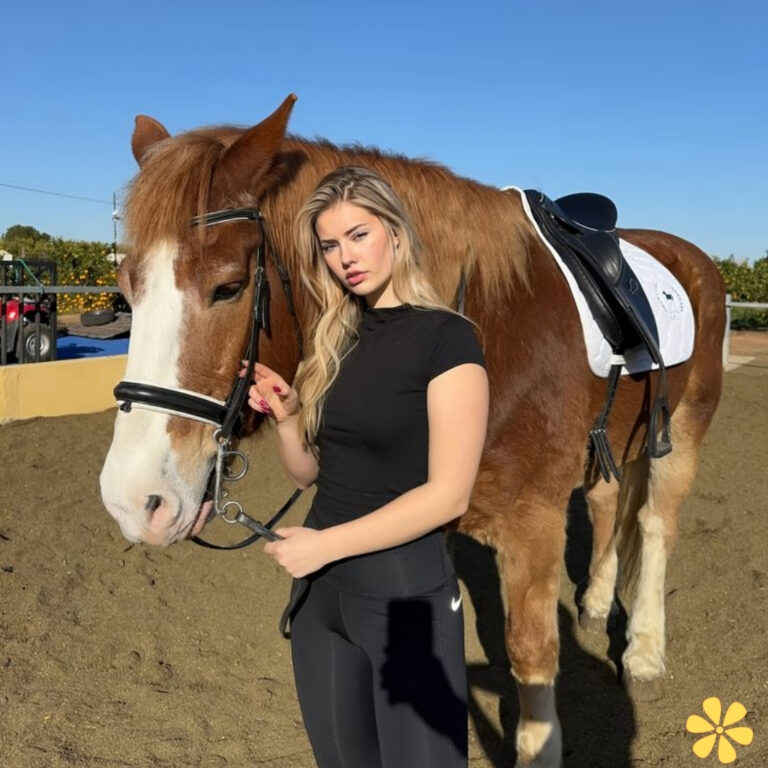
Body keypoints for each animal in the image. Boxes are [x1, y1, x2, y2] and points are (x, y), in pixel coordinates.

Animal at [100, 94, 725, 767]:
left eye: (228, 287)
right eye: (126, 290)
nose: (132, 502)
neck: (489, 324)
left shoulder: (534, 519)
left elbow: (532, 656)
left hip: (685, 429)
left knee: (656, 526)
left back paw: (644, 651)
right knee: (610, 504)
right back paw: (595, 603)